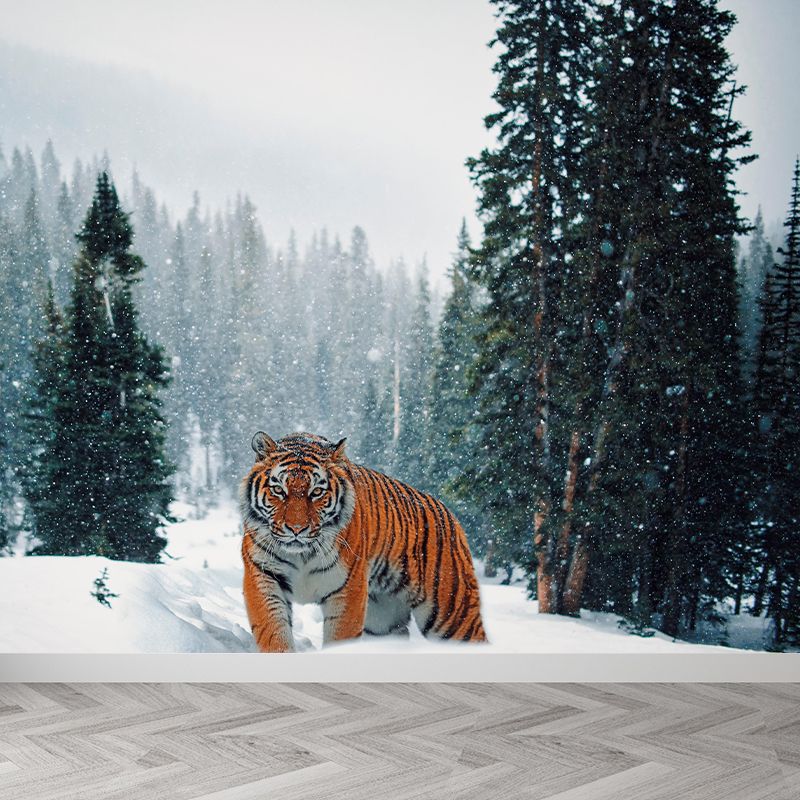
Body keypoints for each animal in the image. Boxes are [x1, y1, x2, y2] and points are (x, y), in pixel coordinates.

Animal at [240, 431, 487, 652]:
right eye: (278, 490)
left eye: (317, 492)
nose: (296, 529)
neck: (302, 554)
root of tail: (451, 515)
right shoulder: (263, 576)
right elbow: (273, 632)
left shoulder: (348, 589)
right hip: (383, 620)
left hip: (452, 614)